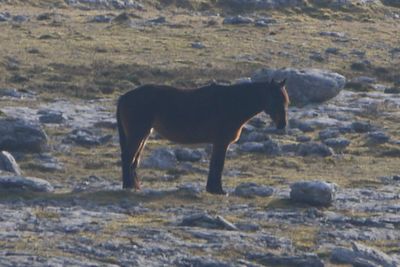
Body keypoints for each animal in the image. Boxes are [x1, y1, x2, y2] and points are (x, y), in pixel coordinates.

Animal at [117, 79, 290, 195]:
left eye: (285, 100)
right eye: (275, 99)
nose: (282, 124)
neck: (232, 103)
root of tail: (124, 96)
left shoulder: (218, 143)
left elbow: (214, 165)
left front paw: (212, 189)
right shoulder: (221, 142)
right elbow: (218, 165)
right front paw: (218, 190)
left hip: (144, 135)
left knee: (134, 160)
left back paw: (134, 186)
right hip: (138, 134)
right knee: (128, 157)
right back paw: (128, 186)